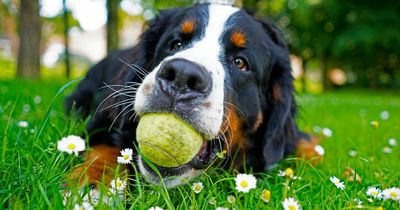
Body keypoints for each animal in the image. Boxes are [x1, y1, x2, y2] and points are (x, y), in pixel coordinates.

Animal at [65, 2, 318, 189]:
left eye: (240, 62)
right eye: (176, 44)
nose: (182, 76)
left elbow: (308, 145)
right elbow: (105, 148)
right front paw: (92, 186)